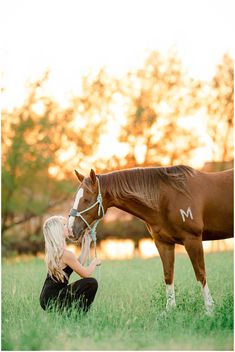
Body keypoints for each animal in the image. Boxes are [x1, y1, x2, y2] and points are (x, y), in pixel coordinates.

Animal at [67, 166, 233, 314]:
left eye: (87, 199)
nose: (70, 230)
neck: (169, 197)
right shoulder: (163, 243)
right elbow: (168, 275)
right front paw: (170, 311)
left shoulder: (192, 239)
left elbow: (200, 274)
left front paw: (209, 311)